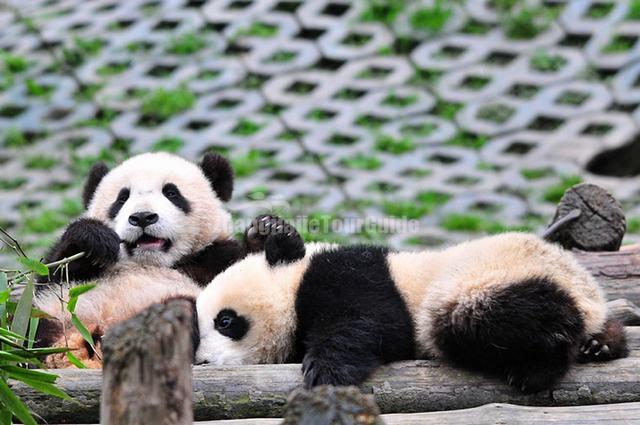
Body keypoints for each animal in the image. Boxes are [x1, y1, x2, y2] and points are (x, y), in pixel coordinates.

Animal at [32, 152, 288, 368]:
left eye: (172, 193)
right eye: (122, 198)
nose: (143, 217)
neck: (154, 262)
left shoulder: (213, 258)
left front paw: (266, 231)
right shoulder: (72, 282)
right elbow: (52, 275)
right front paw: (93, 239)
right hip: (53, 319)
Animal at [194, 229, 624, 390]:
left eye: (226, 321)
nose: (201, 362)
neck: (293, 281)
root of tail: (590, 299)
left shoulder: (351, 277)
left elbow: (368, 322)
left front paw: (326, 370)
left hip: (481, 280)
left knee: (472, 317)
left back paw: (540, 364)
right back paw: (601, 345)